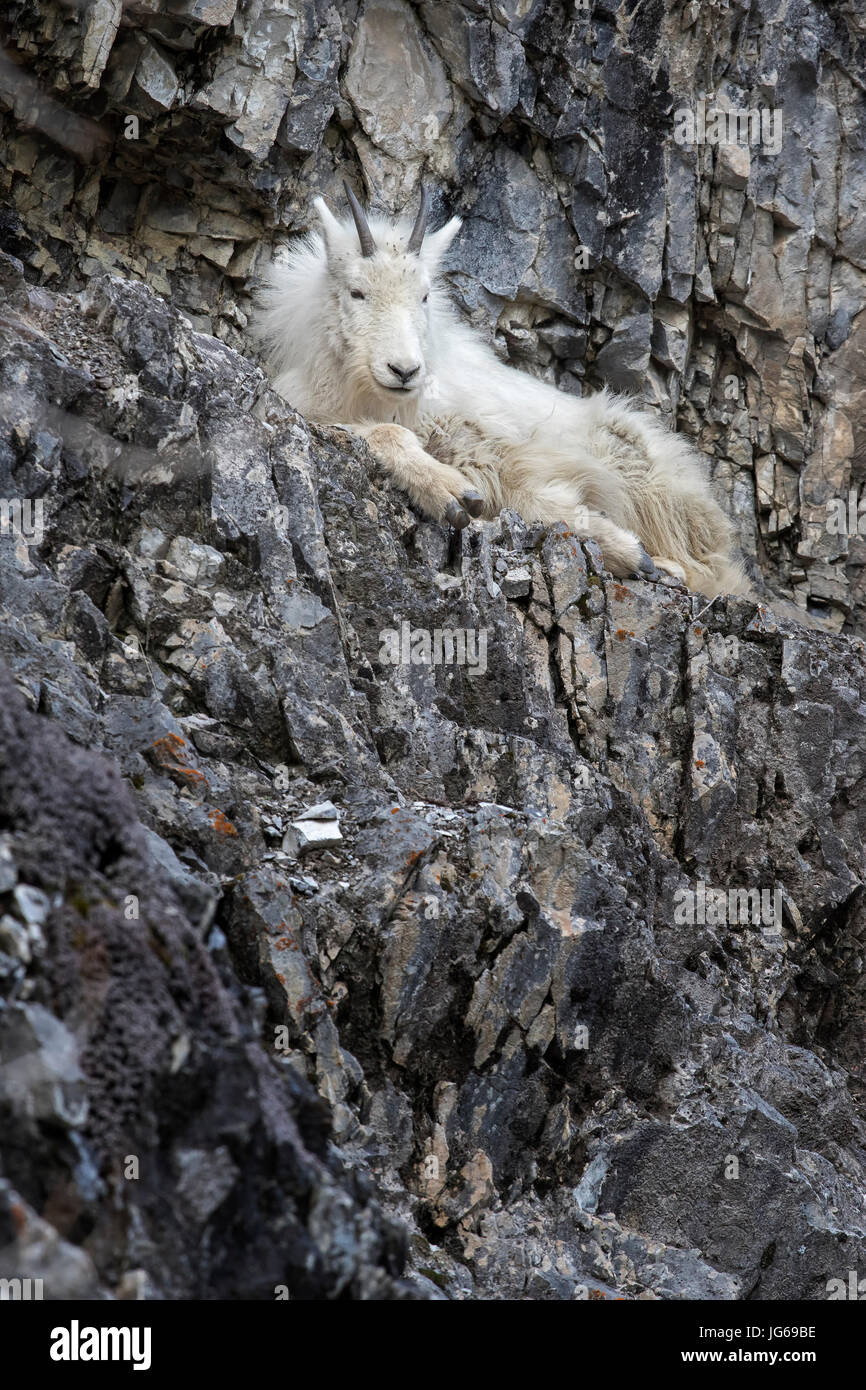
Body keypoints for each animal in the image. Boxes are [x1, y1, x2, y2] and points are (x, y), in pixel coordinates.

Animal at [252, 184, 749, 598]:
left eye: (425, 296)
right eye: (356, 292)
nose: (404, 370)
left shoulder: (498, 441)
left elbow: (530, 493)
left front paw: (629, 552)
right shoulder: (310, 409)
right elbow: (382, 436)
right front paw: (451, 493)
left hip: (641, 472)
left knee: (716, 570)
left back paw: (669, 565)